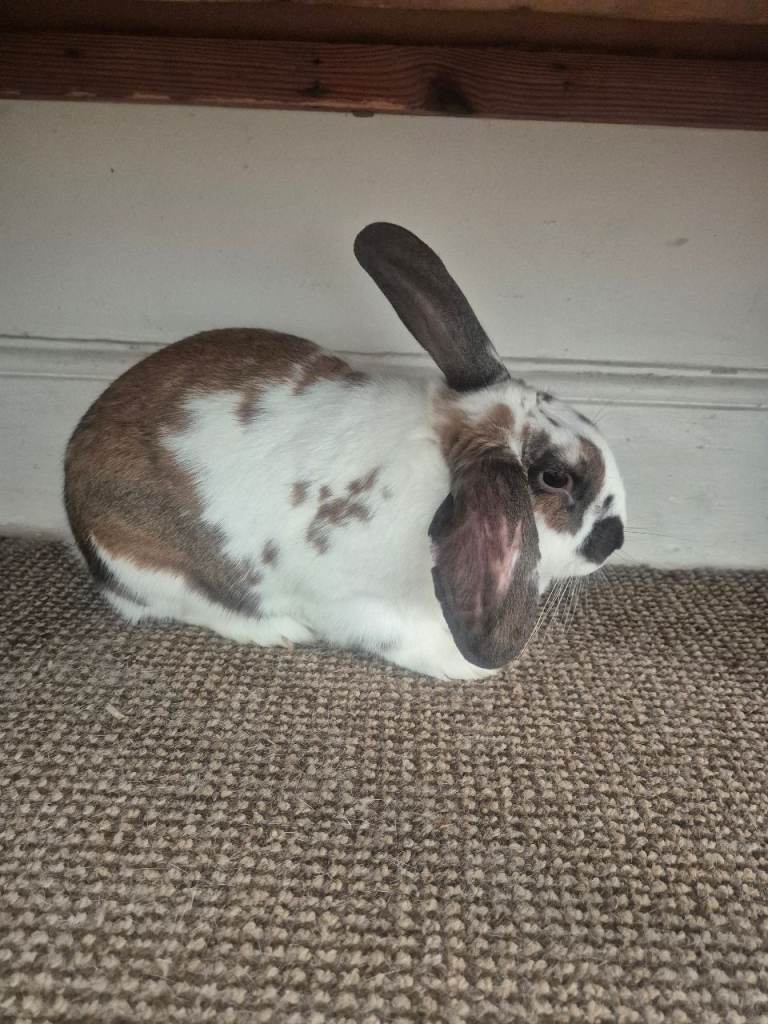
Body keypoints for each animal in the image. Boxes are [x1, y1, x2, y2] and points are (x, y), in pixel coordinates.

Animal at [64, 222, 626, 681]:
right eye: (555, 478)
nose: (615, 539)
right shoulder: (355, 605)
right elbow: (399, 638)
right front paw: (464, 666)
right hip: (151, 563)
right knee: (179, 607)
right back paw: (277, 631)